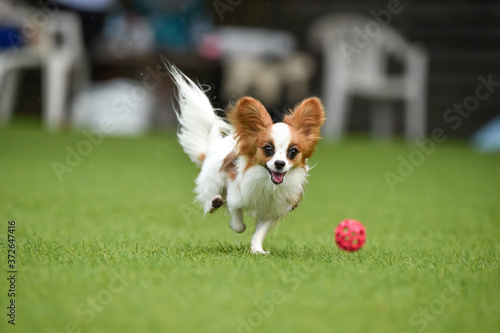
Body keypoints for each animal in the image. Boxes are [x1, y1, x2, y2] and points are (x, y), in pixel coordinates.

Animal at [170, 64, 326, 252]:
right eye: (268, 149)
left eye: (293, 151)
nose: (280, 164)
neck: (268, 183)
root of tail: (214, 145)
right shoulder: (235, 197)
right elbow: (238, 223)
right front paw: (236, 225)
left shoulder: (271, 212)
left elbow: (259, 233)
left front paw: (257, 250)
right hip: (212, 182)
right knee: (209, 201)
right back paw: (214, 203)